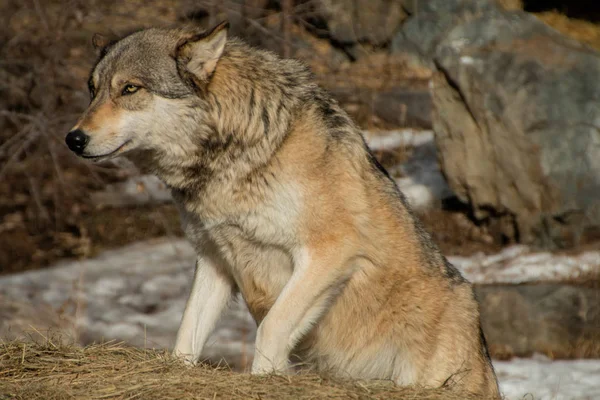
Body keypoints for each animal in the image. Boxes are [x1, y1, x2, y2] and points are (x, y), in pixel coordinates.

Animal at [65, 20, 500, 396]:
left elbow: (271, 329)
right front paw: (176, 373)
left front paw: (264, 381)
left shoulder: (329, 251)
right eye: (93, 90)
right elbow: (186, 333)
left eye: (130, 89)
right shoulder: (214, 258)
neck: (233, 158)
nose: (73, 138)